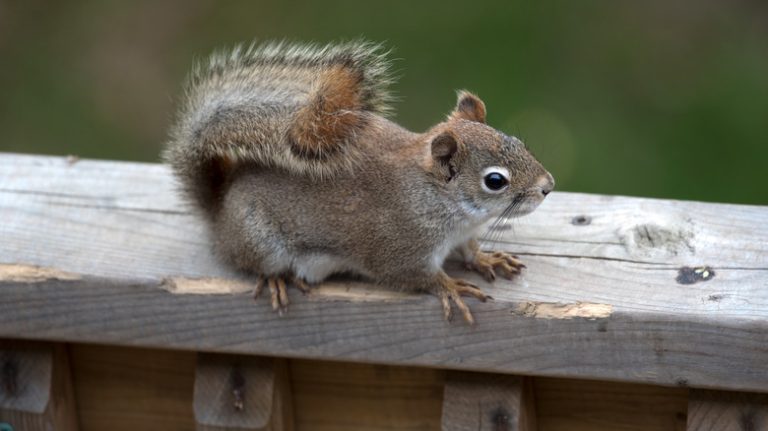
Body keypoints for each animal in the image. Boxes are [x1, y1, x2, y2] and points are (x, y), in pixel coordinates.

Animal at [165, 41, 556, 324]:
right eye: (495, 181)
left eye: (518, 142)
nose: (548, 185)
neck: (442, 201)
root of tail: (219, 208)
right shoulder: (399, 245)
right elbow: (413, 275)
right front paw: (451, 286)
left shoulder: (463, 234)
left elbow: (471, 250)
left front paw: (487, 258)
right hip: (258, 241)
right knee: (254, 264)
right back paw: (275, 279)